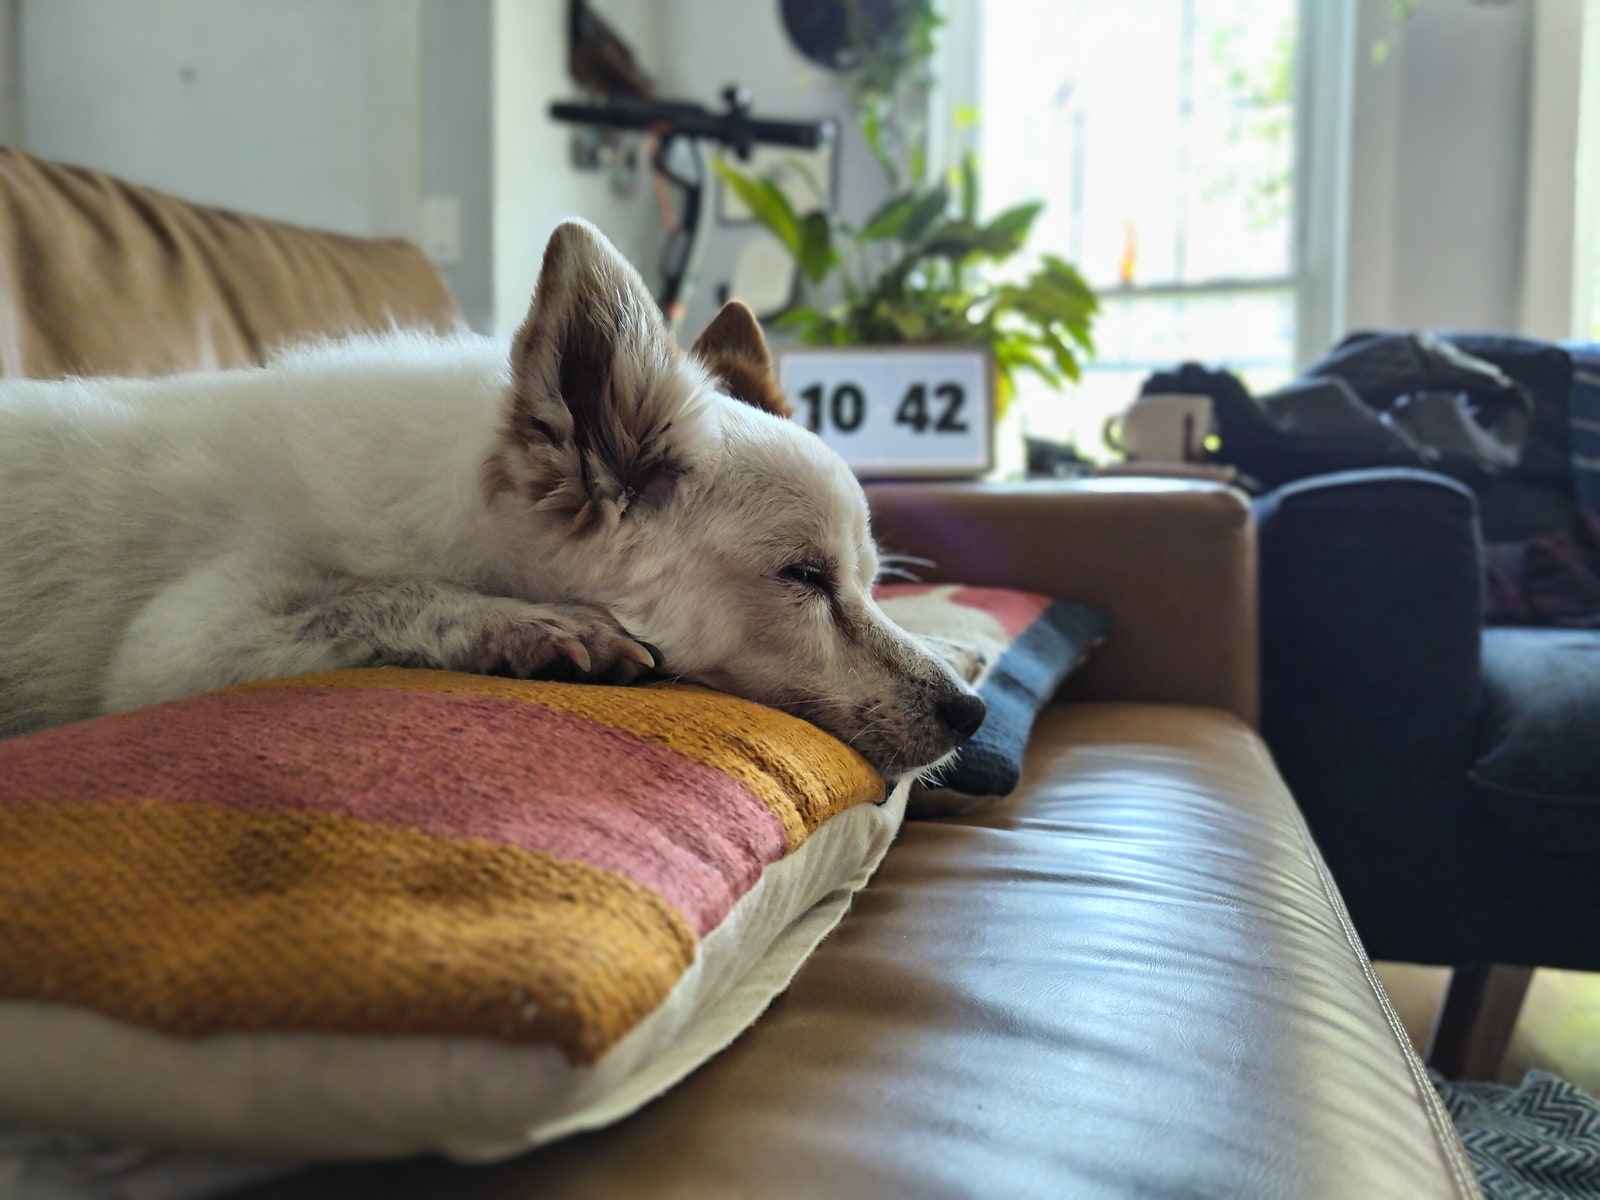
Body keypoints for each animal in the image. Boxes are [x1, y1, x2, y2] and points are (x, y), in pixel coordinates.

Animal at [0, 219, 979, 774]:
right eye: (803, 578)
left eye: (867, 581)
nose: (971, 714)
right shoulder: (183, 642)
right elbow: (372, 593)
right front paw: (525, 626)